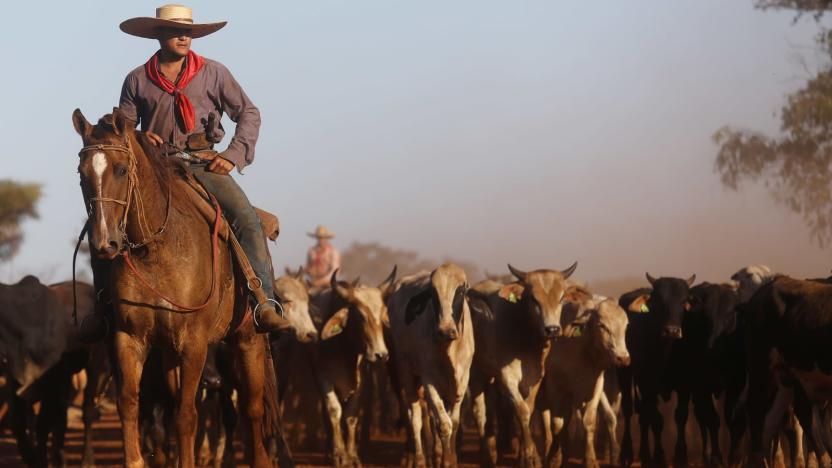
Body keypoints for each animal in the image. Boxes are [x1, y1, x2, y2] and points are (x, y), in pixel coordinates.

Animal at [71, 109, 276, 468]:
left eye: (121, 169)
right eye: (81, 174)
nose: (104, 243)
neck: (156, 247)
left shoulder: (193, 342)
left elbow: (185, 415)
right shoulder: (129, 338)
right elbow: (130, 405)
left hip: (248, 339)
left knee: (251, 410)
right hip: (168, 353)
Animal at [308, 266, 396, 466]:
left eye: (382, 315)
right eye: (360, 316)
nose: (381, 354)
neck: (344, 350)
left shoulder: (362, 382)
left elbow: (351, 416)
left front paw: (353, 456)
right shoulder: (323, 378)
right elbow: (333, 411)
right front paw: (339, 455)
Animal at [386, 264, 472, 468]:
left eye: (461, 290)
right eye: (433, 293)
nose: (445, 330)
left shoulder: (462, 381)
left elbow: (454, 422)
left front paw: (450, 459)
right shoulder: (429, 380)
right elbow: (444, 424)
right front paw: (446, 462)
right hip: (407, 374)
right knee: (415, 418)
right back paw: (419, 460)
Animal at [464, 264, 580, 468]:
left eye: (561, 298)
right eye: (533, 298)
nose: (552, 329)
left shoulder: (534, 379)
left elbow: (529, 409)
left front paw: (530, 457)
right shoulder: (507, 378)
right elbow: (523, 412)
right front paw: (530, 457)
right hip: (476, 374)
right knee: (479, 412)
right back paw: (486, 456)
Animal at [616, 272, 696, 466]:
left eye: (684, 301)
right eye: (659, 301)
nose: (672, 331)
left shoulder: (685, 384)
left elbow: (680, 416)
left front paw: (681, 456)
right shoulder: (648, 383)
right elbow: (656, 420)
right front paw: (658, 457)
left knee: (643, 415)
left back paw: (645, 454)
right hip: (625, 371)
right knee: (629, 410)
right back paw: (628, 453)